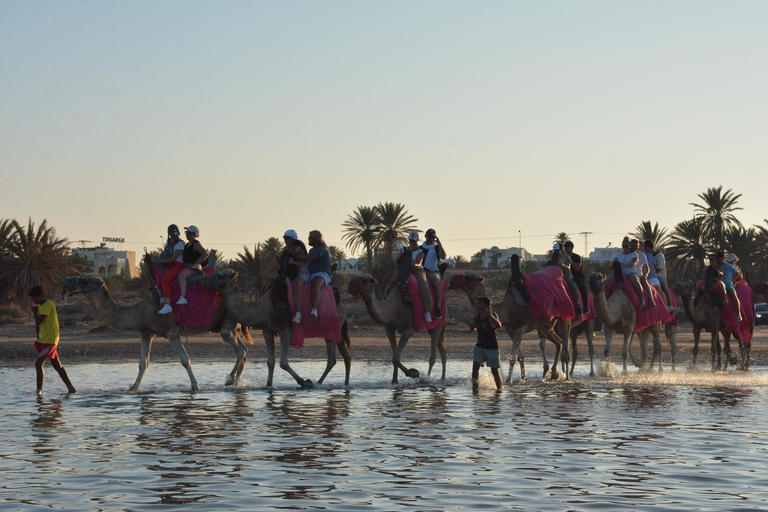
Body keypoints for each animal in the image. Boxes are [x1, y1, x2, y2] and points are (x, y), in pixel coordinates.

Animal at [63, 276, 250, 392]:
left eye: (86, 281)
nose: (68, 282)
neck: (141, 311)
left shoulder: (172, 332)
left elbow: (185, 360)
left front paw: (195, 387)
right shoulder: (146, 333)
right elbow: (143, 363)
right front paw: (133, 388)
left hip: (229, 319)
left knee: (240, 348)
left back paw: (230, 380)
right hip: (228, 324)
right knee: (242, 350)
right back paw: (235, 381)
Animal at [201, 270, 352, 386]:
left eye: (221, 275)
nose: (205, 280)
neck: (263, 309)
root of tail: (343, 307)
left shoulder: (286, 330)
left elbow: (283, 362)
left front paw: (303, 381)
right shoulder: (267, 331)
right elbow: (270, 361)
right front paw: (268, 386)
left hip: (331, 328)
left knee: (332, 359)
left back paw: (318, 383)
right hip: (338, 330)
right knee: (346, 357)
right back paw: (345, 384)